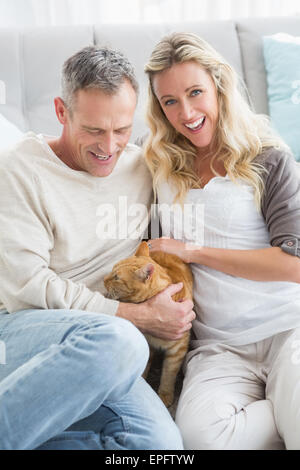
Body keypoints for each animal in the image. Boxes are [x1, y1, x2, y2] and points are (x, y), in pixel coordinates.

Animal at [103, 241, 193, 406]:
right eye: (112, 271)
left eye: (117, 277)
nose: (103, 279)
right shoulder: (147, 345)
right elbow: (144, 366)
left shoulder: (177, 351)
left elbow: (168, 374)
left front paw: (165, 394)